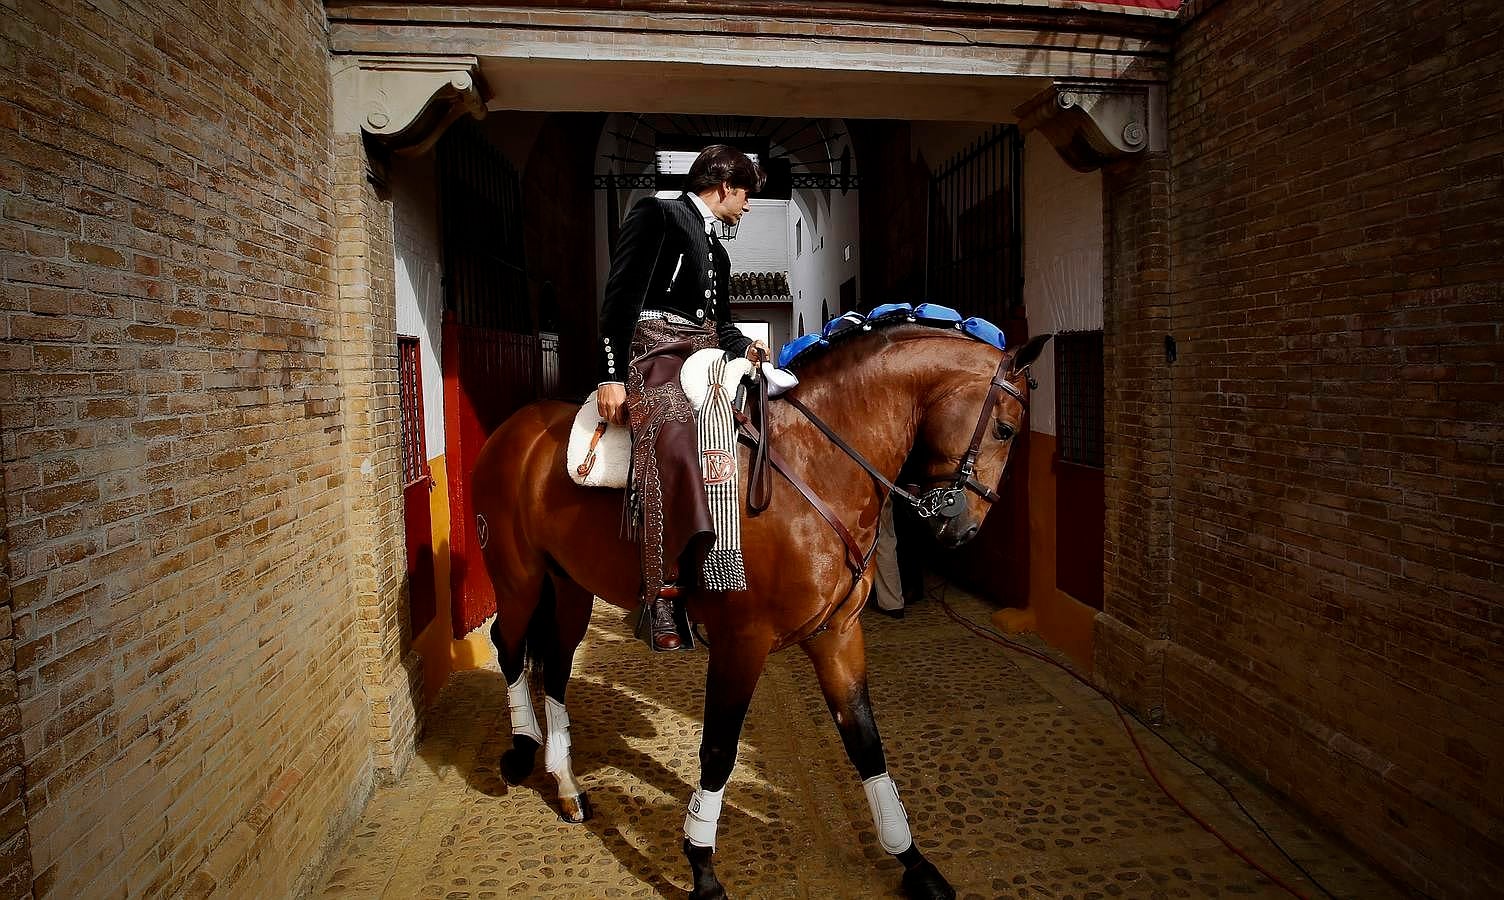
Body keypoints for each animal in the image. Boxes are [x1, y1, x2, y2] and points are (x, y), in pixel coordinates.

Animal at [469, 326, 1046, 900]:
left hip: (569, 588)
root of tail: (514, 429)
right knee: (508, 646)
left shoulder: (837, 634)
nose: (962, 528)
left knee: (557, 666)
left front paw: (914, 861)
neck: (816, 463)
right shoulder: (741, 641)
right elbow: (720, 750)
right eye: (1005, 429)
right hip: (519, 579)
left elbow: (865, 742)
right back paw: (521, 750)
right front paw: (701, 867)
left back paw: (566, 785)